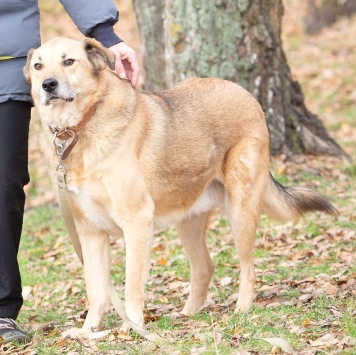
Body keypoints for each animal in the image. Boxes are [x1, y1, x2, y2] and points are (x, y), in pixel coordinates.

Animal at [23, 36, 336, 340]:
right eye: (38, 66)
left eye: (68, 61)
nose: (48, 85)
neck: (79, 129)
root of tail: (245, 93)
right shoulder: (90, 233)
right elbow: (96, 291)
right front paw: (89, 331)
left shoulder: (137, 221)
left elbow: (132, 285)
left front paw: (131, 328)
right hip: (188, 221)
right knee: (205, 268)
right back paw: (187, 315)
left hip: (241, 208)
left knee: (248, 265)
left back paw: (242, 309)